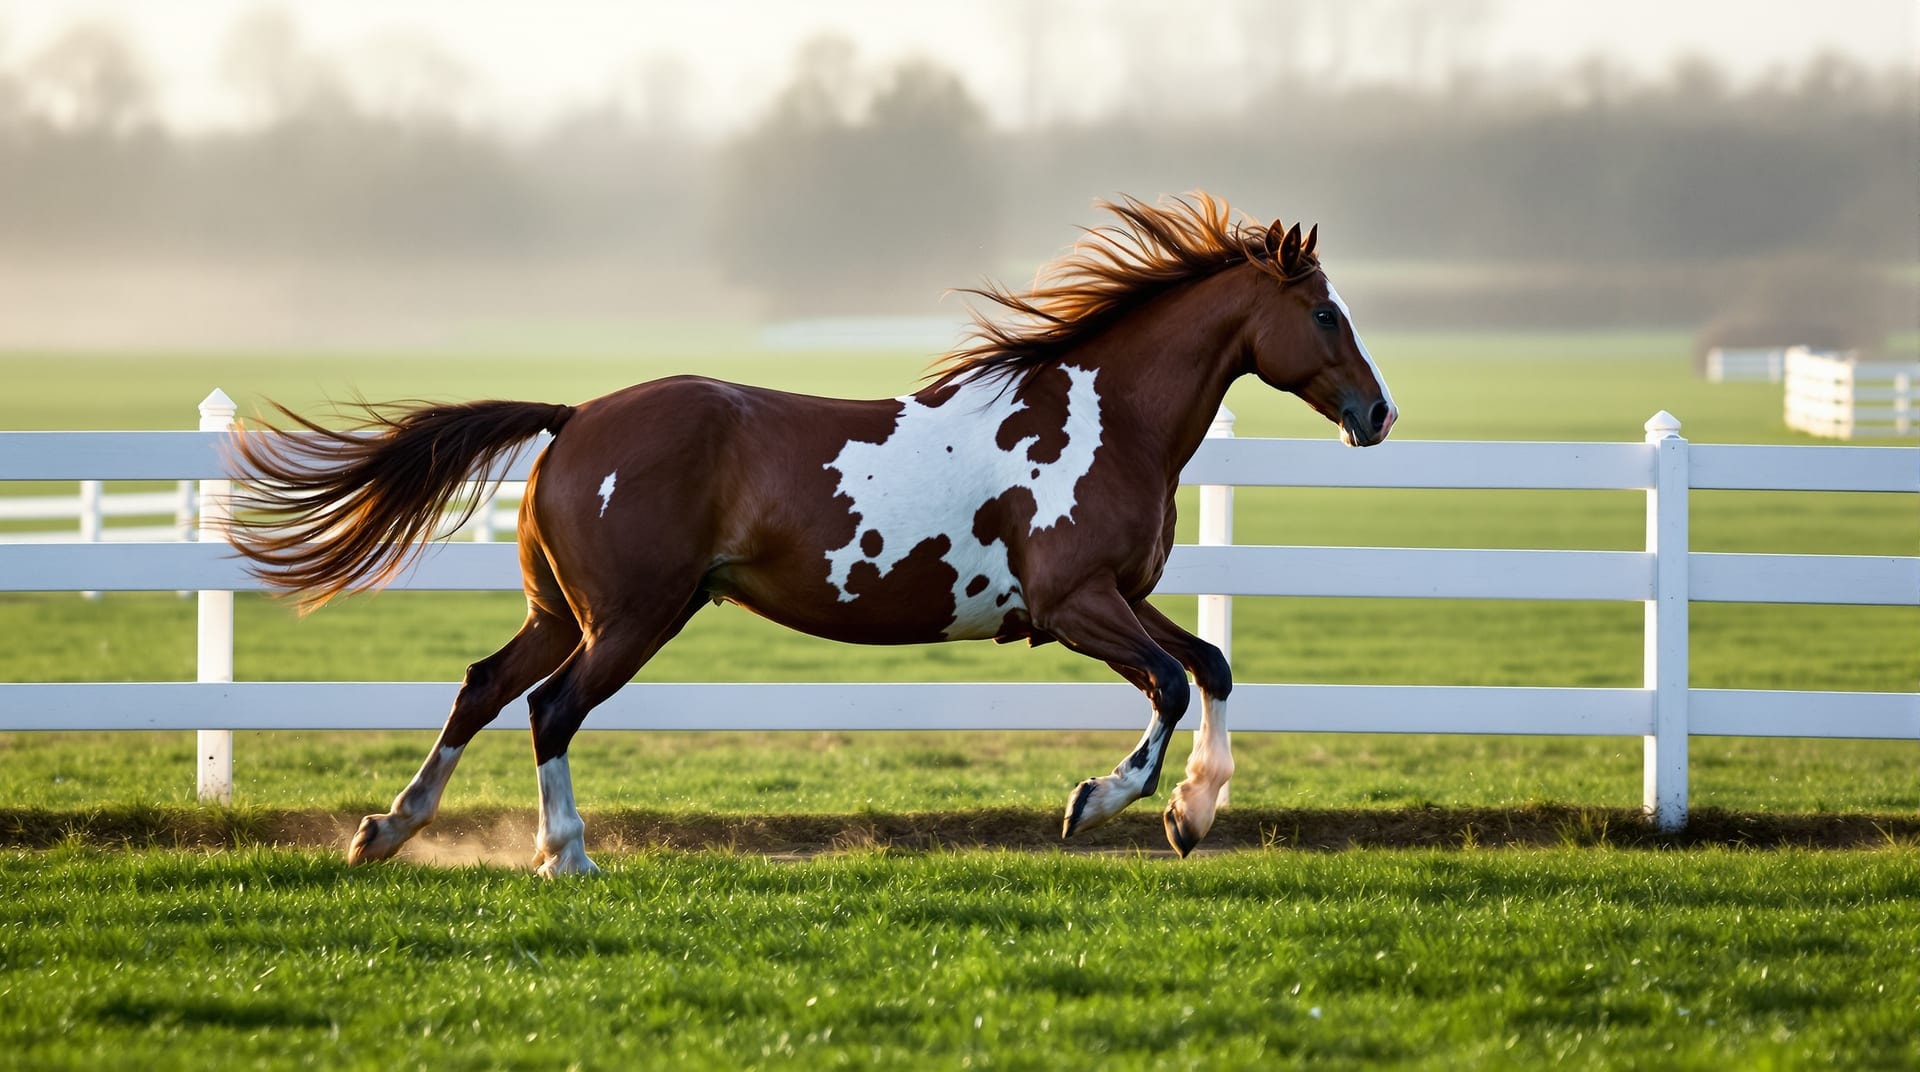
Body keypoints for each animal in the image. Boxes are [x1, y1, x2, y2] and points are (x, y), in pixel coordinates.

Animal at [227, 194, 1397, 875]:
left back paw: (385, 831)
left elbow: (1211, 664)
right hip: (635, 616)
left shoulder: (1119, 594)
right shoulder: (1074, 605)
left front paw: (1194, 814)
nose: (1377, 414)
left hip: (562, 610)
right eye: (1326, 313)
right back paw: (566, 857)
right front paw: (1098, 804)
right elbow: (1165, 684)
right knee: (552, 709)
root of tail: (574, 418)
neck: (1106, 418)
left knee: (482, 688)